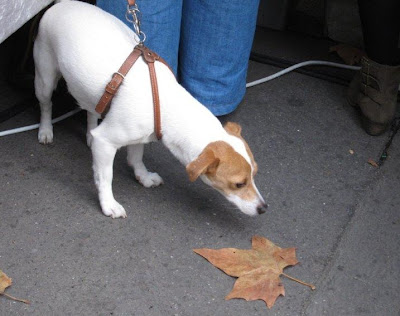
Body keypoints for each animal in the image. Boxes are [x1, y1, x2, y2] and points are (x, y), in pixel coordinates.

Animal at [32, 0, 268, 217]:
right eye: (239, 184)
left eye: (255, 174)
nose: (263, 208)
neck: (166, 104)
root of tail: (62, 3)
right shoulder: (106, 142)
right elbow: (105, 177)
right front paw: (108, 204)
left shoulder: (141, 135)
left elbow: (136, 159)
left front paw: (143, 177)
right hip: (45, 78)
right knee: (46, 104)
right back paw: (45, 130)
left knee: (91, 110)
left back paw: (90, 132)